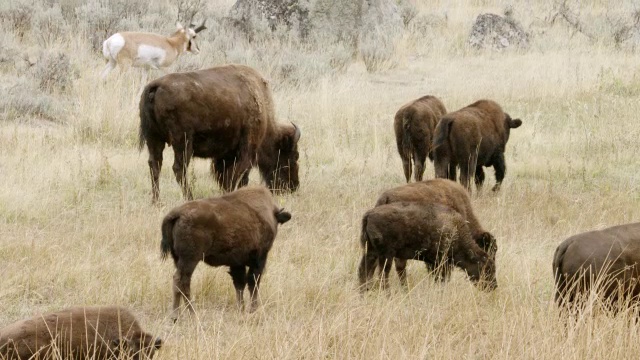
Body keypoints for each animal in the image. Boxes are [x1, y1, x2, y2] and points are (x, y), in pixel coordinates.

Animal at [138, 64, 302, 202]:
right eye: (294, 155)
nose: (293, 187)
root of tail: (155, 86)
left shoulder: (225, 154)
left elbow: (225, 176)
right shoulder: (248, 148)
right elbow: (239, 175)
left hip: (154, 139)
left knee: (155, 165)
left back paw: (156, 201)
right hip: (182, 142)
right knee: (178, 168)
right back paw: (190, 198)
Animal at [161, 186, 292, 318]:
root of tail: (176, 213)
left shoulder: (237, 263)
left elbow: (240, 284)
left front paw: (241, 308)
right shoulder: (259, 259)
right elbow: (253, 283)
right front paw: (252, 309)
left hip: (178, 259)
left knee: (180, 283)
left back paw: (178, 315)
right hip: (190, 259)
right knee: (181, 281)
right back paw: (188, 314)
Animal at [358, 201, 498, 292]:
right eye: (487, 268)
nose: (493, 286)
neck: (455, 230)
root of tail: (369, 214)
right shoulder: (441, 262)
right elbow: (441, 278)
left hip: (371, 252)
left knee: (364, 270)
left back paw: (364, 292)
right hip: (386, 255)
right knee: (382, 274)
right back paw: (386, 294)